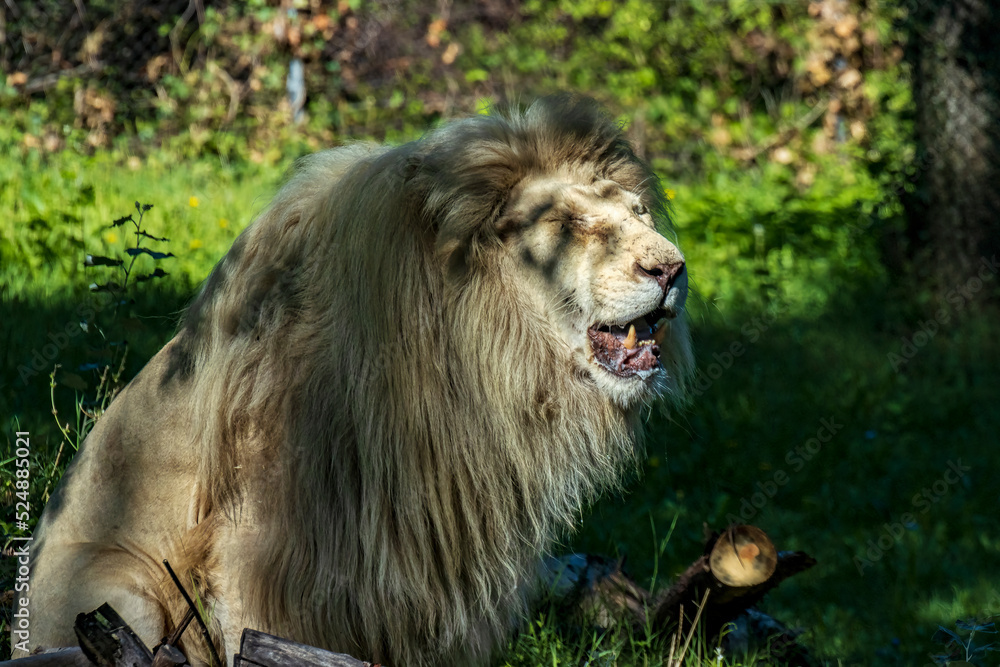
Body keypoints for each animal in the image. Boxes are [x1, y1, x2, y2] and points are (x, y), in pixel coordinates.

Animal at [18, 95, 693, 665]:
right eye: (574, 224)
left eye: (640, 215)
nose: (672, 268)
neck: (483, 360)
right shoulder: (265, 541)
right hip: (118, 587)